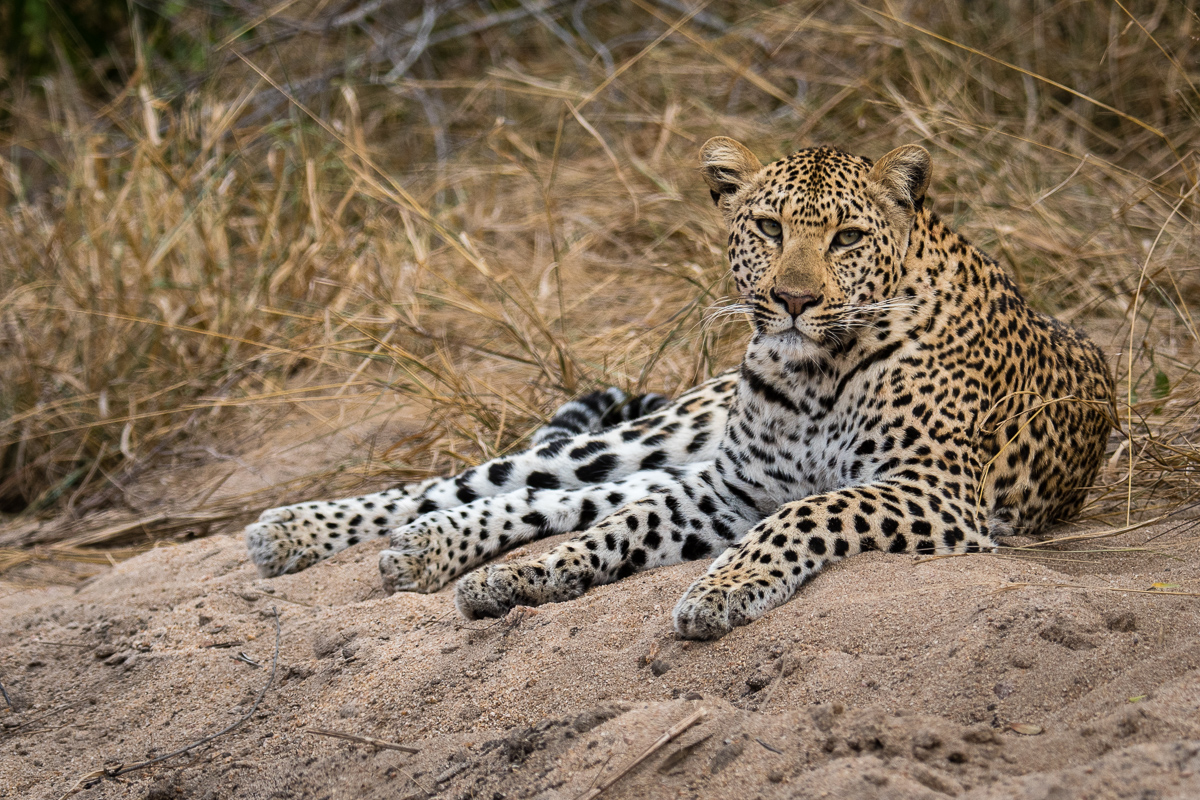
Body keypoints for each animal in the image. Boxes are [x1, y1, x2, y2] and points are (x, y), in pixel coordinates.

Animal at [245, 137, 1114, 640]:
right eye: (767, 227)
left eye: (847, 237)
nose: (794, 299)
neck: (814, 375)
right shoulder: (733, 488)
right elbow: (619, 529)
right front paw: (538, 576)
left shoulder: (931, 490)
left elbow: (803, 514)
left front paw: (718, 590)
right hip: (662, 435)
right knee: (490, 481)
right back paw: (303, 531)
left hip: (676, 453)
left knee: (558, 499)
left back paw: (437, 554)